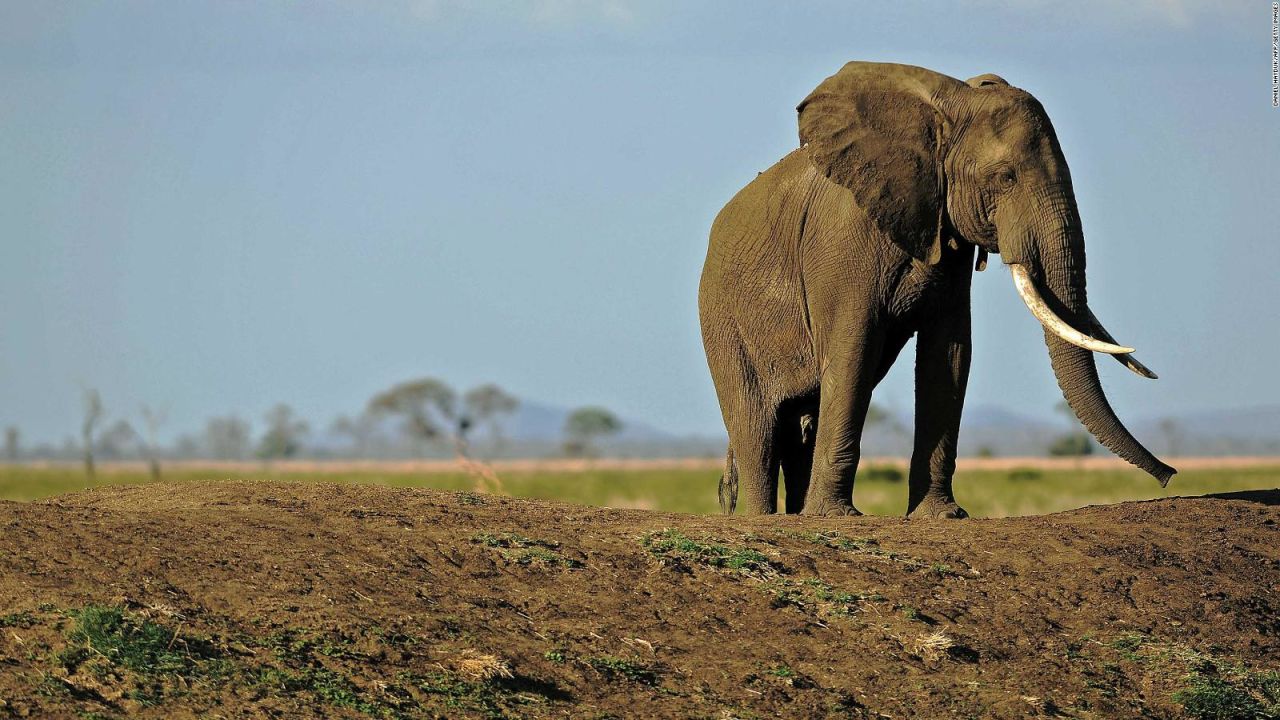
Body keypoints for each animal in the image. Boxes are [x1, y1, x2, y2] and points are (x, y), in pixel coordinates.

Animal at [701, 60, 1177, 515]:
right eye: (1006, 177)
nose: (1169, 475)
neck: (947, 107)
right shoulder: (843, 241)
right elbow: (853, 351)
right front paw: (836, 517)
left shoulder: (949, 239)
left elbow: (948, 352)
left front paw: (942, 515)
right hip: (721, 320)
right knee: (758, 428)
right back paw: (766, 517)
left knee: (800, 423)